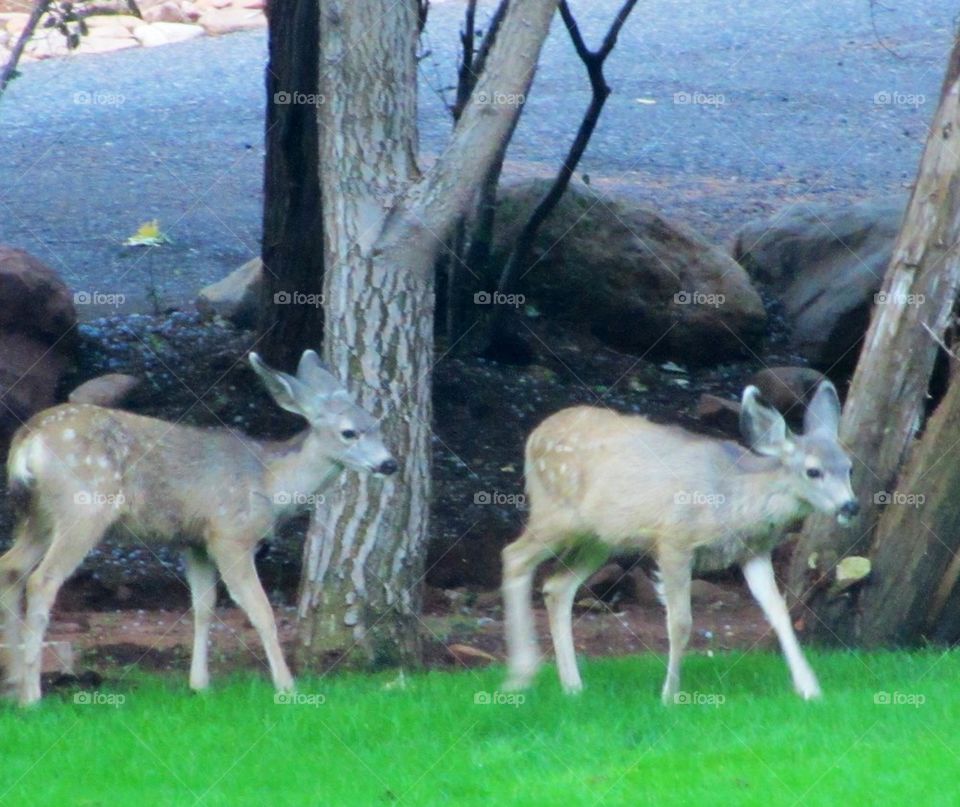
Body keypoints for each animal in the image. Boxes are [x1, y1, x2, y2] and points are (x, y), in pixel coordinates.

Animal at [0, 350, 397, 705]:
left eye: (378, 425)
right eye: (349, 433)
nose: (389, 464)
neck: (270, 482)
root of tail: (27, 441)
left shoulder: (195, 542)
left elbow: (203, 606)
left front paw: (199, 685)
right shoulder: (230, 534)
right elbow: (260, 610)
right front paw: (287, 687)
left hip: (39, 514)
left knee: (11, 568)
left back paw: (15, 685)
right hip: (84, 506)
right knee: (42, 580)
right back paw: (32, 696)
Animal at [501, 379, 858, 704]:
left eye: (850, 467)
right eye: (813, 471)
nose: (850, 506)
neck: (735, 498)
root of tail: (533, 436)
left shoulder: (753, 551)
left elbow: (779, 611)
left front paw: (810, 688)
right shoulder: (675, 538)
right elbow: (681, 622)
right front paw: (670, 695)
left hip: (599, 538)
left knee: (557, 586)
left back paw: (572, 686)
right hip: (556, 512)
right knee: (513, 555)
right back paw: (521, 676)